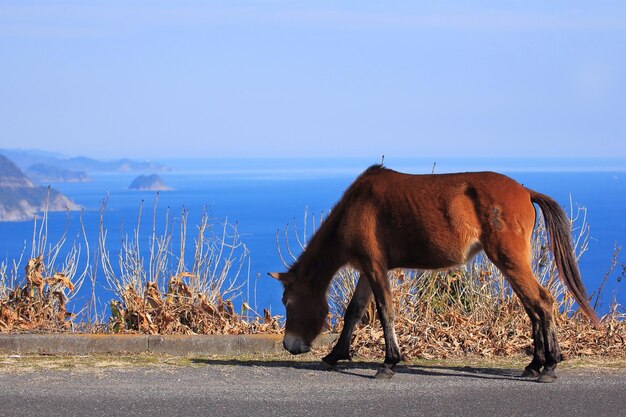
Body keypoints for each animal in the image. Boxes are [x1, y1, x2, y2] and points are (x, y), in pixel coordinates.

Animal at [268, 164, 600, 382]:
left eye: (288, 302)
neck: (355, 207)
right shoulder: (366, 269)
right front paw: (335, 354)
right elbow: (354, 312)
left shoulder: (375, 267)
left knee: (542, 303)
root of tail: (525, 191)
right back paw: (535, 364)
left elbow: (385, 311)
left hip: (510, 261)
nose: (289, 345)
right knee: (533, 308)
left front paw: (389, 363)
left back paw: (549, 367)